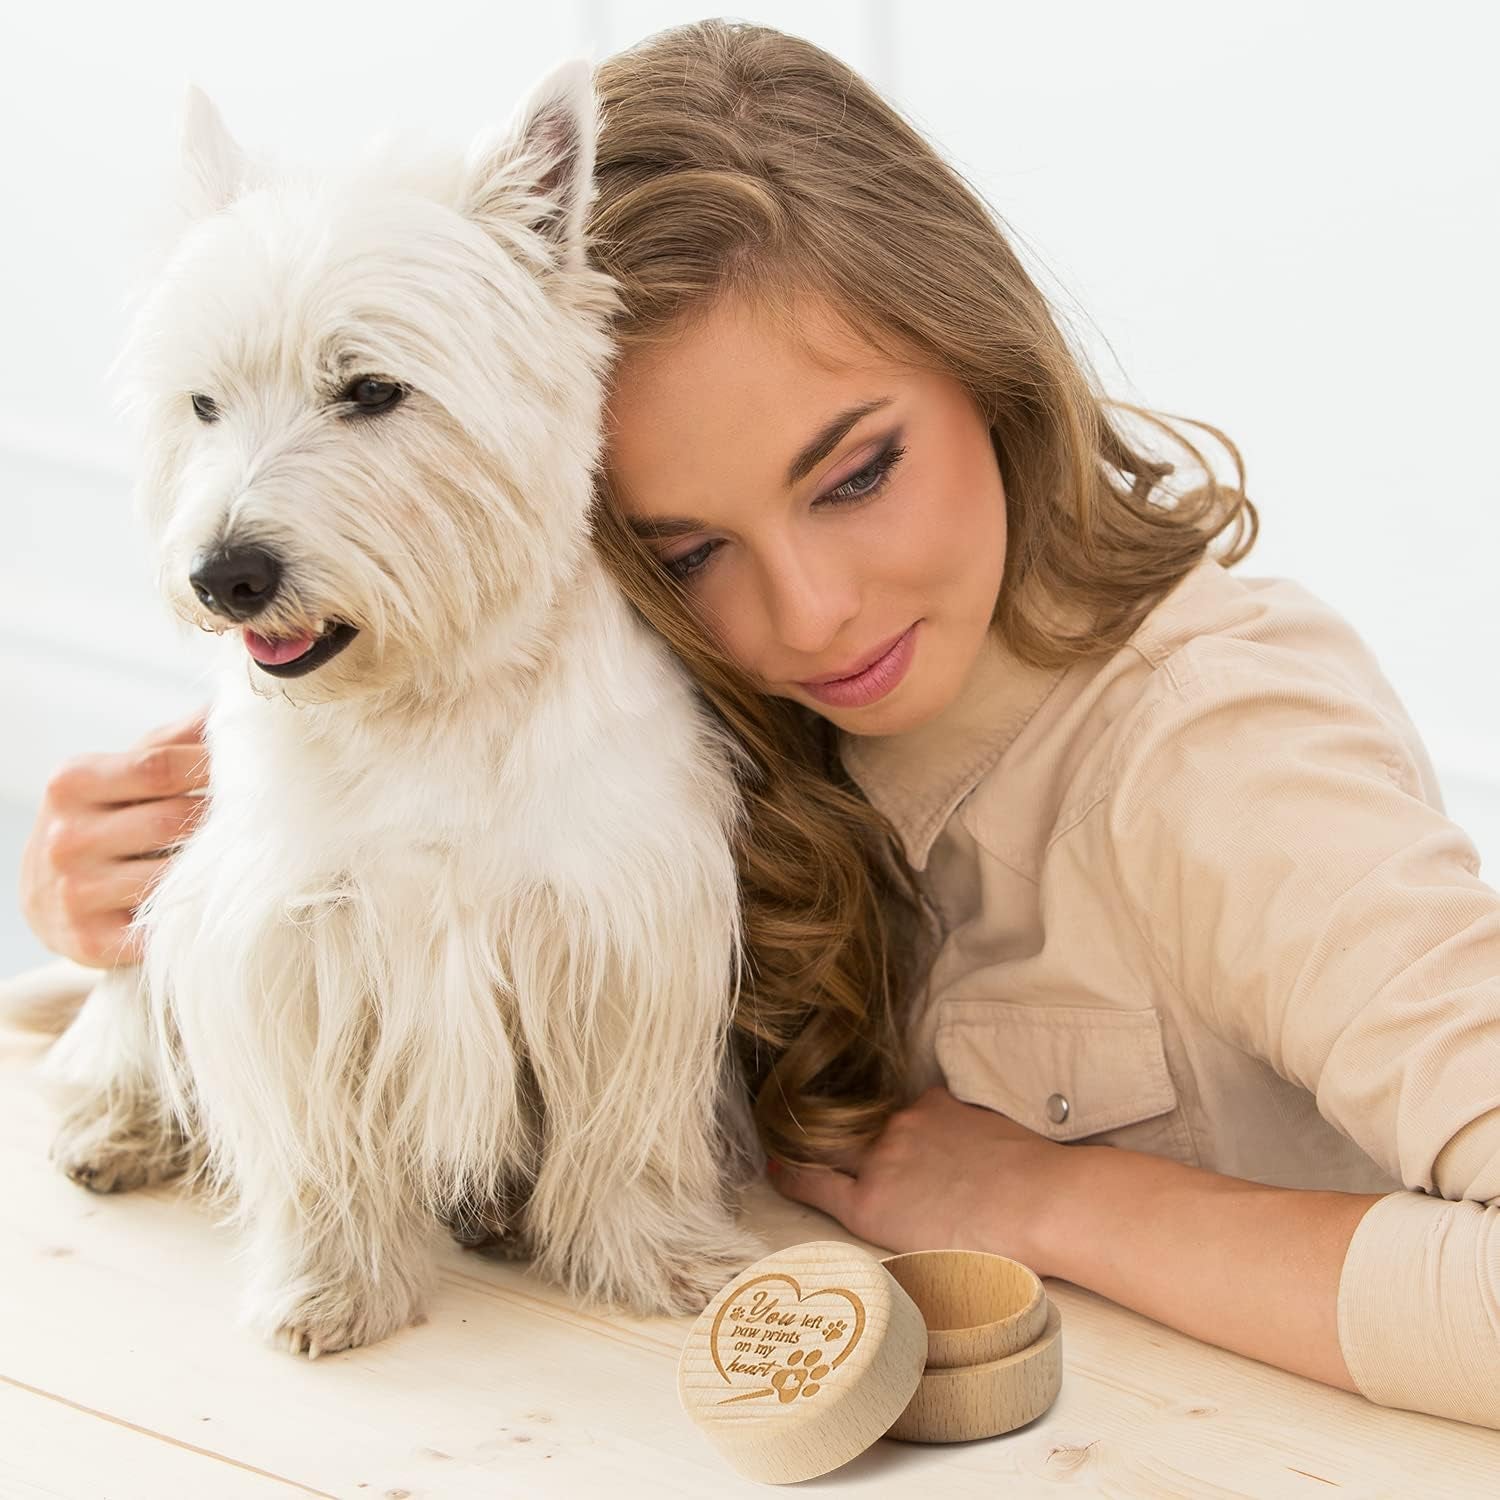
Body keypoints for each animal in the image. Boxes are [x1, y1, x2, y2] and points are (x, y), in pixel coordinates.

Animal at [41, 58, 768, 1356]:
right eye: (203, 405)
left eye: (372, 390)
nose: (224, 576)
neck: (430, 695)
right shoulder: (288, 925)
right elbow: (317, 1136)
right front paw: (329, 1288)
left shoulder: (621, 919)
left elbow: (626, 1127)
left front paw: (662, 1262)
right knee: (123, 1022)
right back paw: (115, 1130)